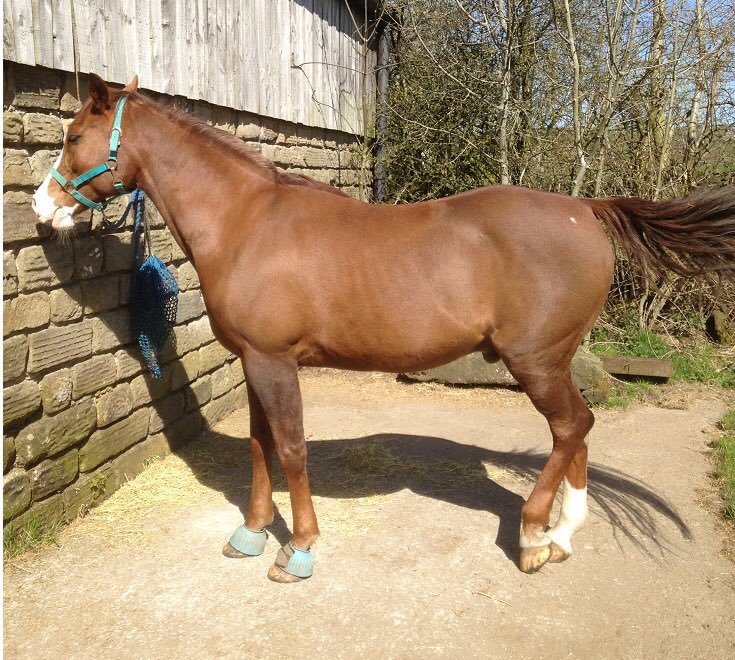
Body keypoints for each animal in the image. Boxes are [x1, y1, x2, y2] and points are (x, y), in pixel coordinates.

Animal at [32, 74, 735, 582]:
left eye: (72, 136)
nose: (42, 207)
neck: (246, 222)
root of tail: (585, 209)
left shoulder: (274, 362)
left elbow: (292, 449)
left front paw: (299, 549)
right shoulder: (253, 361)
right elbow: (260, 447)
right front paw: (251, 533)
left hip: (535, 361)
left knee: (570, 428)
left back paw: (535, 535)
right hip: (556, 361)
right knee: (579, 431)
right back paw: (561, 534)